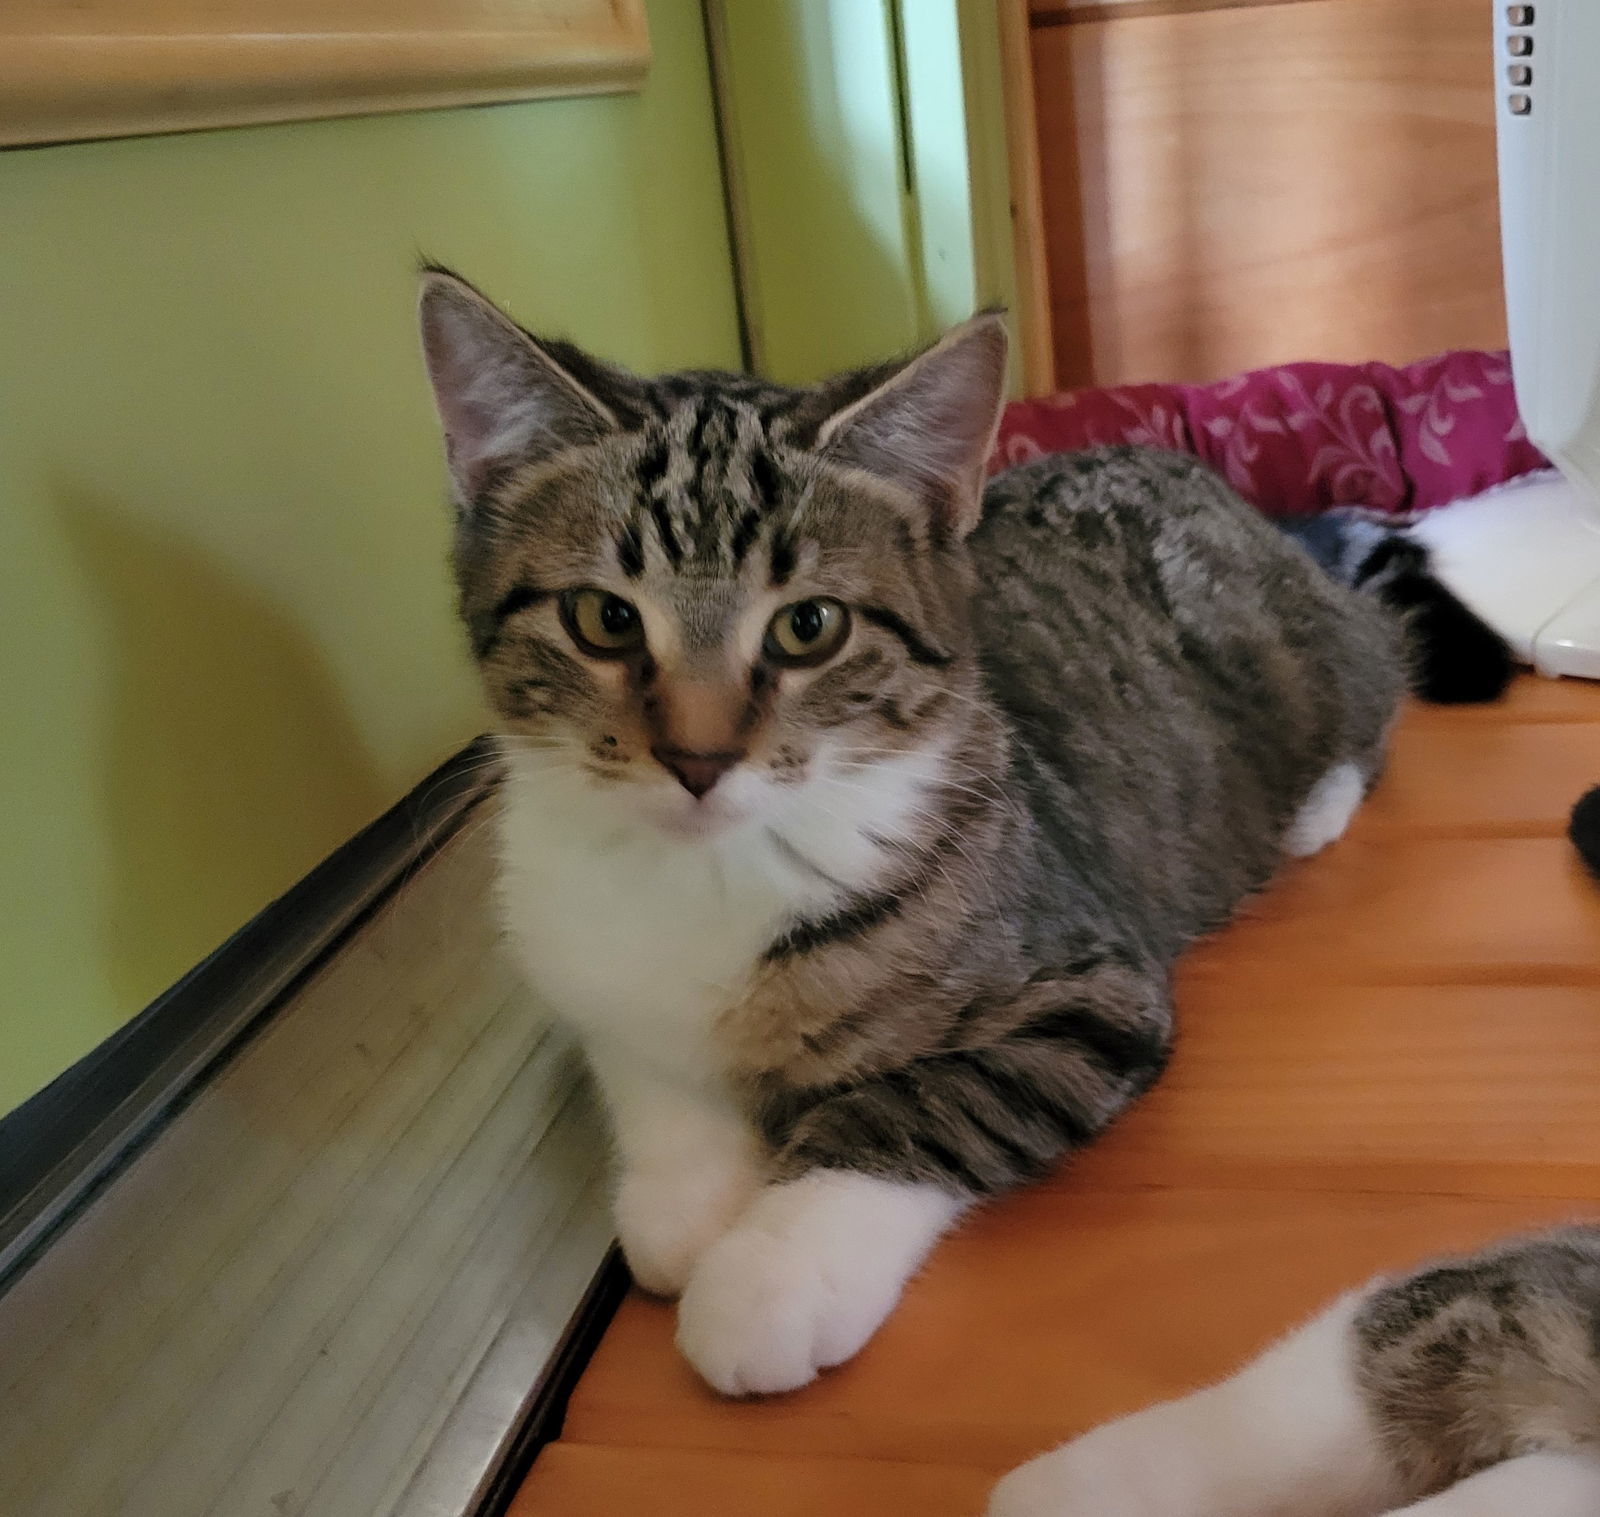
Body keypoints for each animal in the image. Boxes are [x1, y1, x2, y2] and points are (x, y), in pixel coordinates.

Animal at [416, 272, 1440, 1395]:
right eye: (603, 618)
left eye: (807, 627)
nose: (696, 757)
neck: (706, 873)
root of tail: (1218, 487)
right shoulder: (583, 968)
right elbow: (649, 1067)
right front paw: (687, 1200)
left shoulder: (1088, 990)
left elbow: (917, 1102)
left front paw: (771, 1269)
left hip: (1305, 655)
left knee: (1378, 673)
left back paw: (1316, 805)